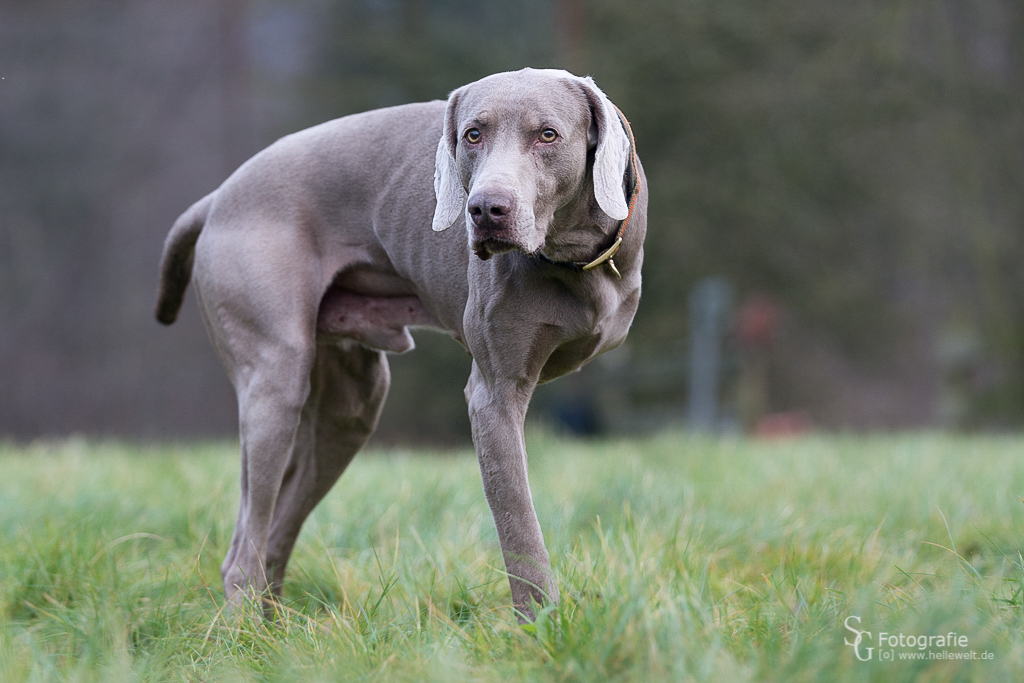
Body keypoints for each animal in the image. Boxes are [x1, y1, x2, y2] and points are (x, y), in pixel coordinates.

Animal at [153, 68, 647, 618]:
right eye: (473, 135)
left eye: (548, 135)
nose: (485, 209)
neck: (574, 258)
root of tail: (218, 197)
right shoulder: (494, 397)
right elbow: (520, 529)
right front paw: (540, 624)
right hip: (275, 380)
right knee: (244, 548)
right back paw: (243, 629)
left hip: (350, 408)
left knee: (277, 531)